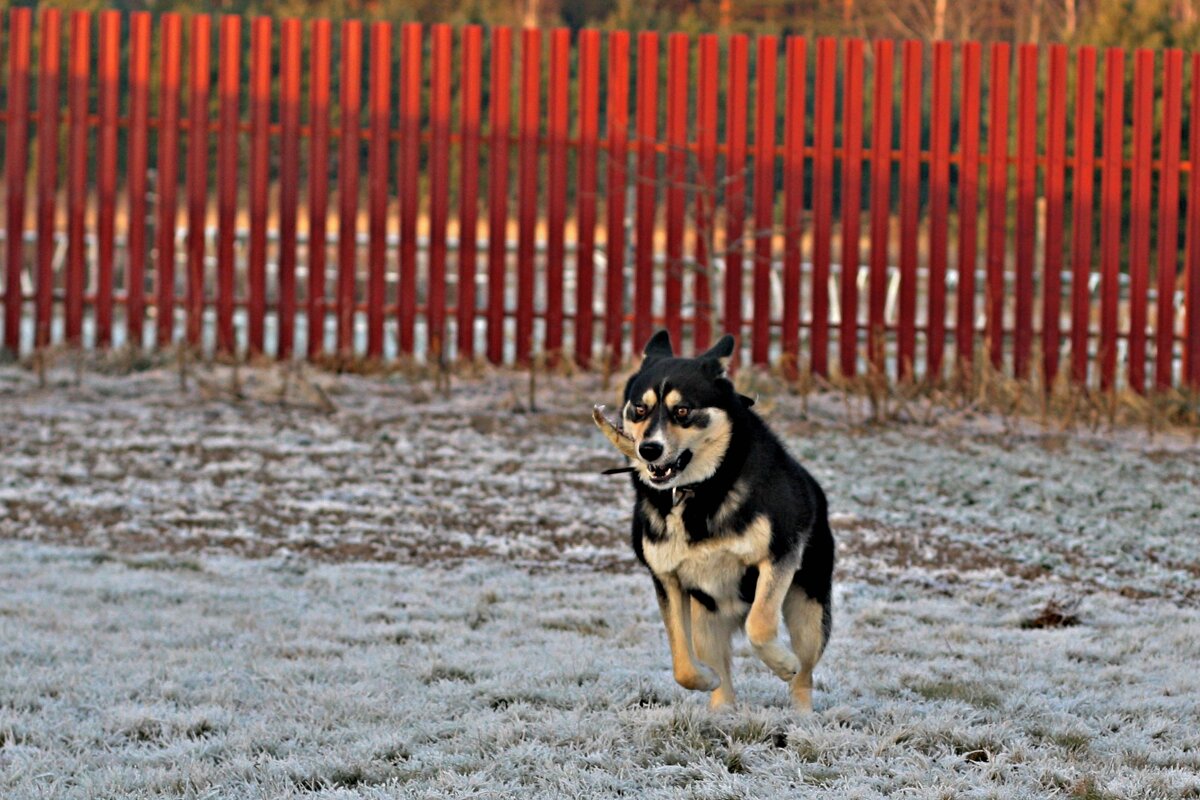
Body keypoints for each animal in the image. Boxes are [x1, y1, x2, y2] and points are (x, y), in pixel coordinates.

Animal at [592, 331, 835, 714]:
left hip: (808, 609)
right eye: (640, 409)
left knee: (805, 673)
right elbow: (683, 664)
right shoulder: (667, 579)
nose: (648, 449)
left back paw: (802, 713)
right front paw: (706, 679)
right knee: (720, 670)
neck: (698, 491)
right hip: (706, 618)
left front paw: (783, 663)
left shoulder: (779, 555)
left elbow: (759, 625)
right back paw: (721, 710)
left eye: (682, 411)